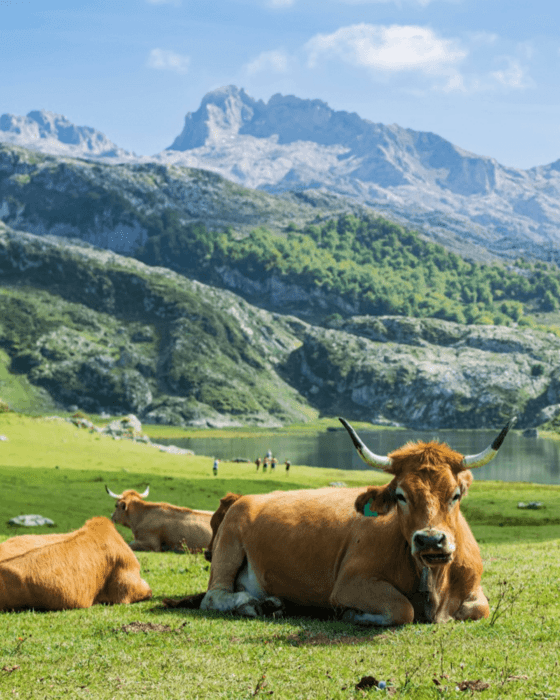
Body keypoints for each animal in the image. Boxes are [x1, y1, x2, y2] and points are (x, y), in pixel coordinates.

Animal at [200, 416, 516, 626]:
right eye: (400, 495)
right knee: (214, 597)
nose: (430, 540)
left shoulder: (474, 590)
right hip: (227, 549)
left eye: (456, 494)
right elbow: (402, 609)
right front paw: (350, 613)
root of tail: (243, 498)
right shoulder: (350, 583)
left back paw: (272, 603)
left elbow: (479, 609)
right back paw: (254, 604)